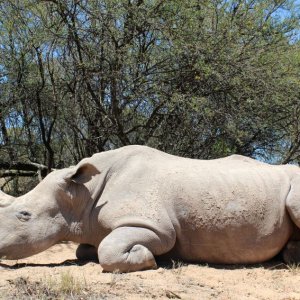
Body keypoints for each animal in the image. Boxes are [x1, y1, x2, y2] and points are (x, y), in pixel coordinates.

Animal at [0, 145, 300, 272]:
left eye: (24, 215)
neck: (83, 194)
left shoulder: (156, 228)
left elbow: (109, 249)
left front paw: (148, 259)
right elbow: (84, 249)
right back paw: (290, 255)